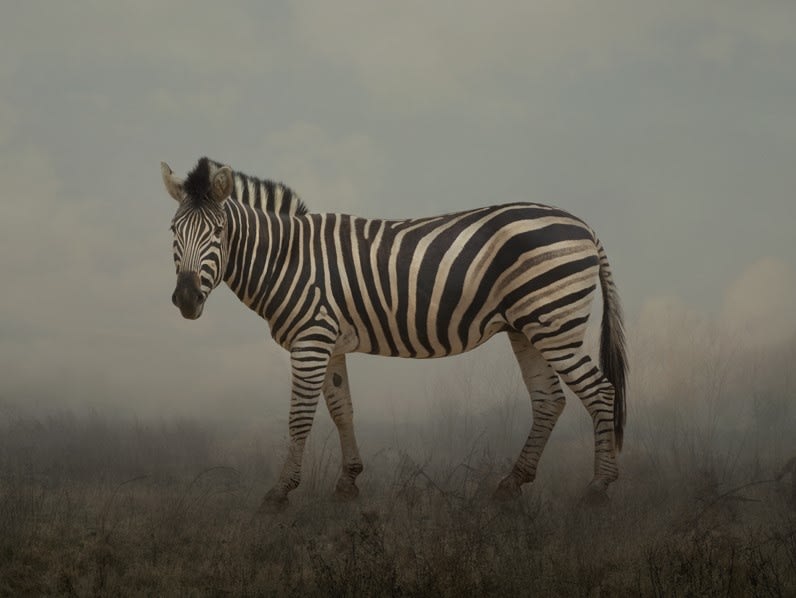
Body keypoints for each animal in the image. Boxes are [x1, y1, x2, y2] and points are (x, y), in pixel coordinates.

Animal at [161, 157, 628, 510]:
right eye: (173, 232)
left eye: (218, 232)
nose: (185, 299)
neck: (287, 258)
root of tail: (584, 226)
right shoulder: (330, 343)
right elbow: (342, 409)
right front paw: (347, 483)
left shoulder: (311, 340)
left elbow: (300, 417)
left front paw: (278, 494)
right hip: (527, 328)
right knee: (549, 400)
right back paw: (510, 485)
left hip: (554, 324)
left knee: (600, 392)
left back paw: (598, 489)